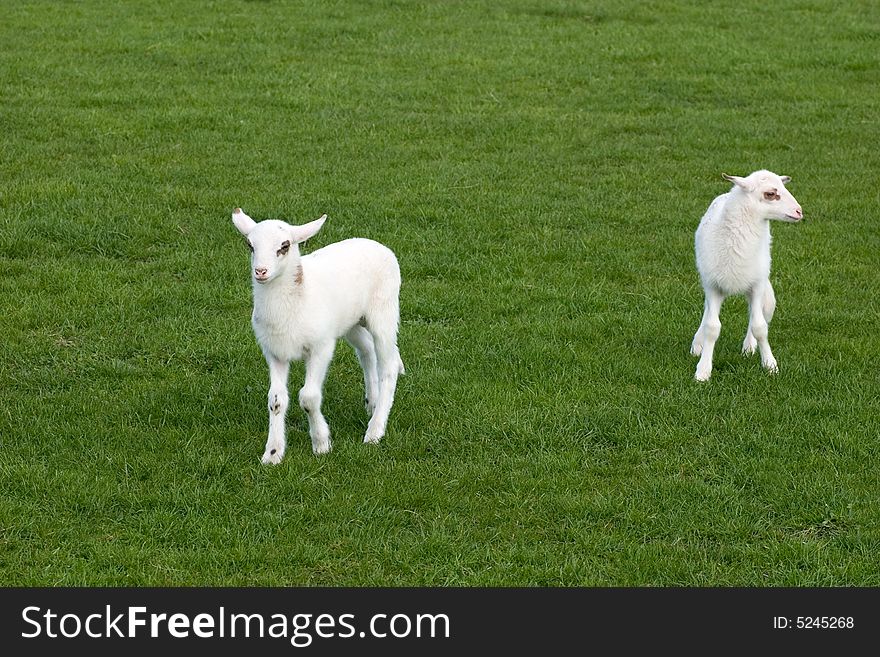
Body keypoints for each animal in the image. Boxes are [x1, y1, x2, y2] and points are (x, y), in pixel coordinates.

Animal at [229, 206, 404, 462]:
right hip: (351, 322)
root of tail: (377, 244)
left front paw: (321, 443)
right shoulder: (275, 352)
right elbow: (276, 400)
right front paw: (272, 453)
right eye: (250, 245)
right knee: (367, 351)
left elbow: (308, 397)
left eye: (284, 245)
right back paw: (371, 403)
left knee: (388, 366)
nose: (260, 271)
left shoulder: (321, 346)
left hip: (384, 310)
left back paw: (375, 430)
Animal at [696, 172, 804, 382]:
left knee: (760, 314)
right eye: (770, 193)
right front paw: (703, 370)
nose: (799, 211)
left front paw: (770, 365)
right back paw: (697, 343)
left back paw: (749, 346)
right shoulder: (713, 286)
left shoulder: (757, 285)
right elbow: (712, 328)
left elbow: (759, 327)